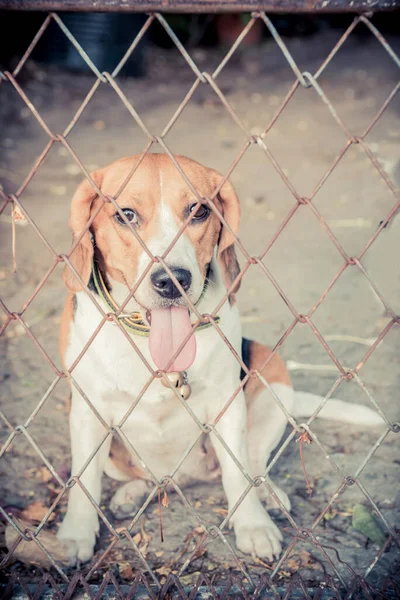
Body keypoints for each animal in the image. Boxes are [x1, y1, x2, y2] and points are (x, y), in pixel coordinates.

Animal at [57, 155, 382, 568]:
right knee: (142, 478)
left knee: (255, 464)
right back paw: (133, 492)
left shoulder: (229, 405)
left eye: (199, 211)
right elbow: (83, 480)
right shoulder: (87, 410)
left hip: (271, 374)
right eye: (125, 215)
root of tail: (179, 478)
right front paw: (75, 533)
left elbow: (238, 473)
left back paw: (268, 495)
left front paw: (253, 526)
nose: (173, 280)